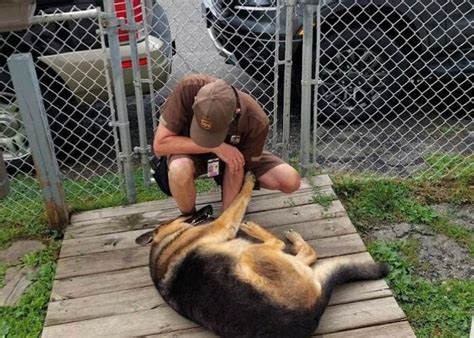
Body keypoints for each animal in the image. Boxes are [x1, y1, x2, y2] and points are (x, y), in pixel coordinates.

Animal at [137, 173, 388, 336]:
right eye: (187, 214)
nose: (207, 208)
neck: (167, 243)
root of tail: (313, 311)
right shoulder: (223, 225)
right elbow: (239, 199)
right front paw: (248, 182)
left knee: (306, 256)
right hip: (252, 254)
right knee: (292, 247)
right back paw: (260, 231)